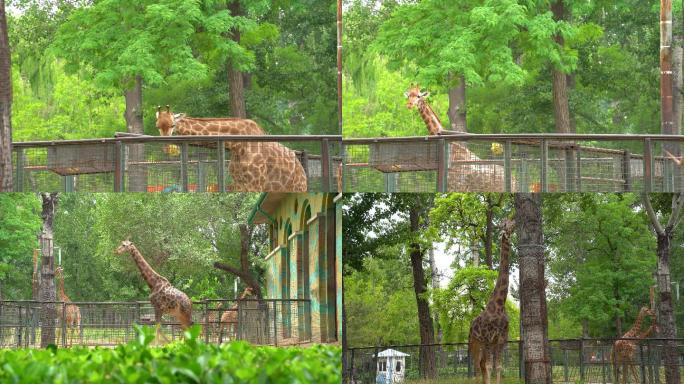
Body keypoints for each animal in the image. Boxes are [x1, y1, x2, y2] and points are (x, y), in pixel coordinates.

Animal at [155, 105, 308, 192]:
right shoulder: (239, 183)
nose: (167, 147)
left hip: (297, 188)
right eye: (157, 126)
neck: (237, 145)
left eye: (173, 125)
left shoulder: (256, 183)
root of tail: (301, 170)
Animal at [468, 219, 516, 384]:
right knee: (477, 365)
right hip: (475, 342)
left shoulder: (501, 339)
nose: (515, 223)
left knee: (481, 364)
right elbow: (489, 367)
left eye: (511, 222)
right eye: (505, 224)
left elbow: (498, 366)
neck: (500, 305)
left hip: (483, 344)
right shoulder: (489, 337)